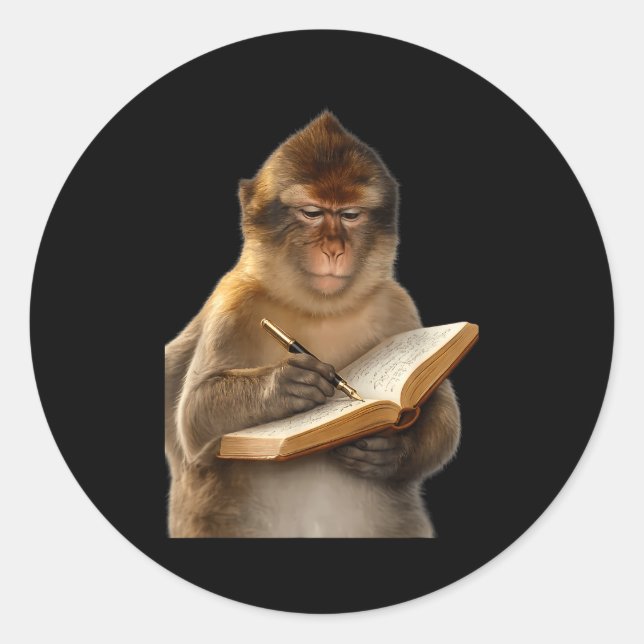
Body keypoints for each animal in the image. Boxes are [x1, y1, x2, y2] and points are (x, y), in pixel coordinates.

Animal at [164, 111, 461, 537]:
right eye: (312, 213)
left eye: (350, 215)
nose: (334, 249)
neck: (319, 309)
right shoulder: (232, 302)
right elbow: (193, 418)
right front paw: (288, 383)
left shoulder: (397, 304)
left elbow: (440, 411)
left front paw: (390, 451)